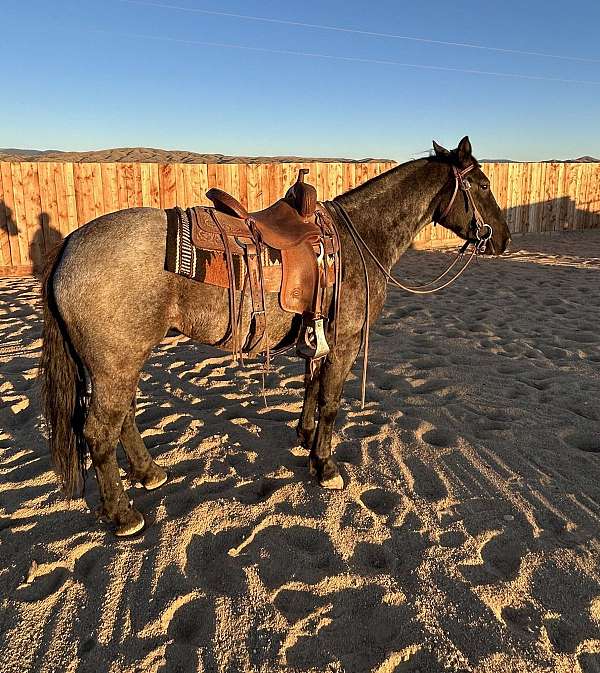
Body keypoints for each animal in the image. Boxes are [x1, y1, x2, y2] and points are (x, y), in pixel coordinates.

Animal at [41, 136, 510, 536]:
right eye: (484, 184)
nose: (503, 239)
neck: (361, 237)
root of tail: (69, 244)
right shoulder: (344, 341)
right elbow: (331, 402)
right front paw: (326, 466)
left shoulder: (321, 338)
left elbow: (312, 388)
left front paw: (305, 438)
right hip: (115, 364)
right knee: (100, 431)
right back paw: (123, 515)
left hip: (119, 364)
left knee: (123, 419)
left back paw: (149, 473)